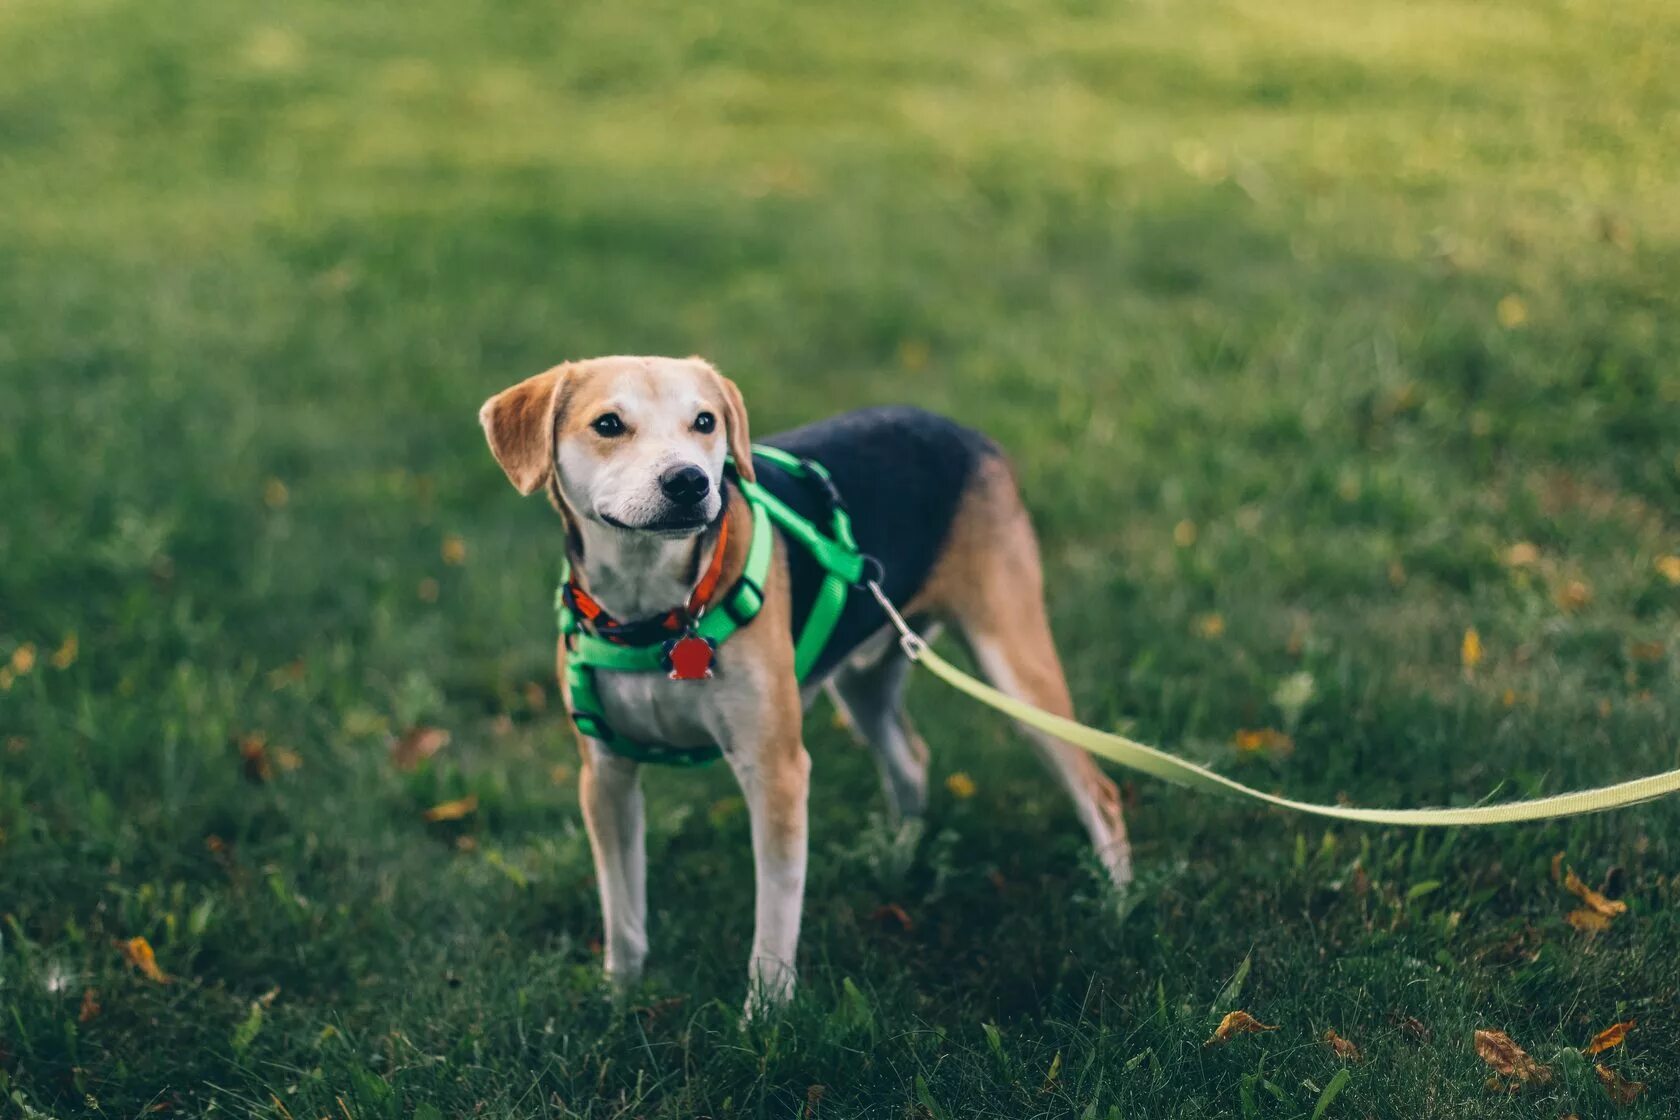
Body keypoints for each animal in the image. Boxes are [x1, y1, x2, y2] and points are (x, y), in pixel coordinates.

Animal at [477, 354, 1128, 1014]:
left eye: (705, 421)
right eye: (608, 424)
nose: (690, 482)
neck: (657, 613)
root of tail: (964, 432)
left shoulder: (776, 770)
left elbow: (774, 916)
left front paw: (764, 1017)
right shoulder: (605, 776)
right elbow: (622, 909)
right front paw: (619, 998)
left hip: (1014, 663)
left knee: (1099, 792)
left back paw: (1116, 905)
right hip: (865, 680)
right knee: (911, 758)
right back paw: (898, 857)